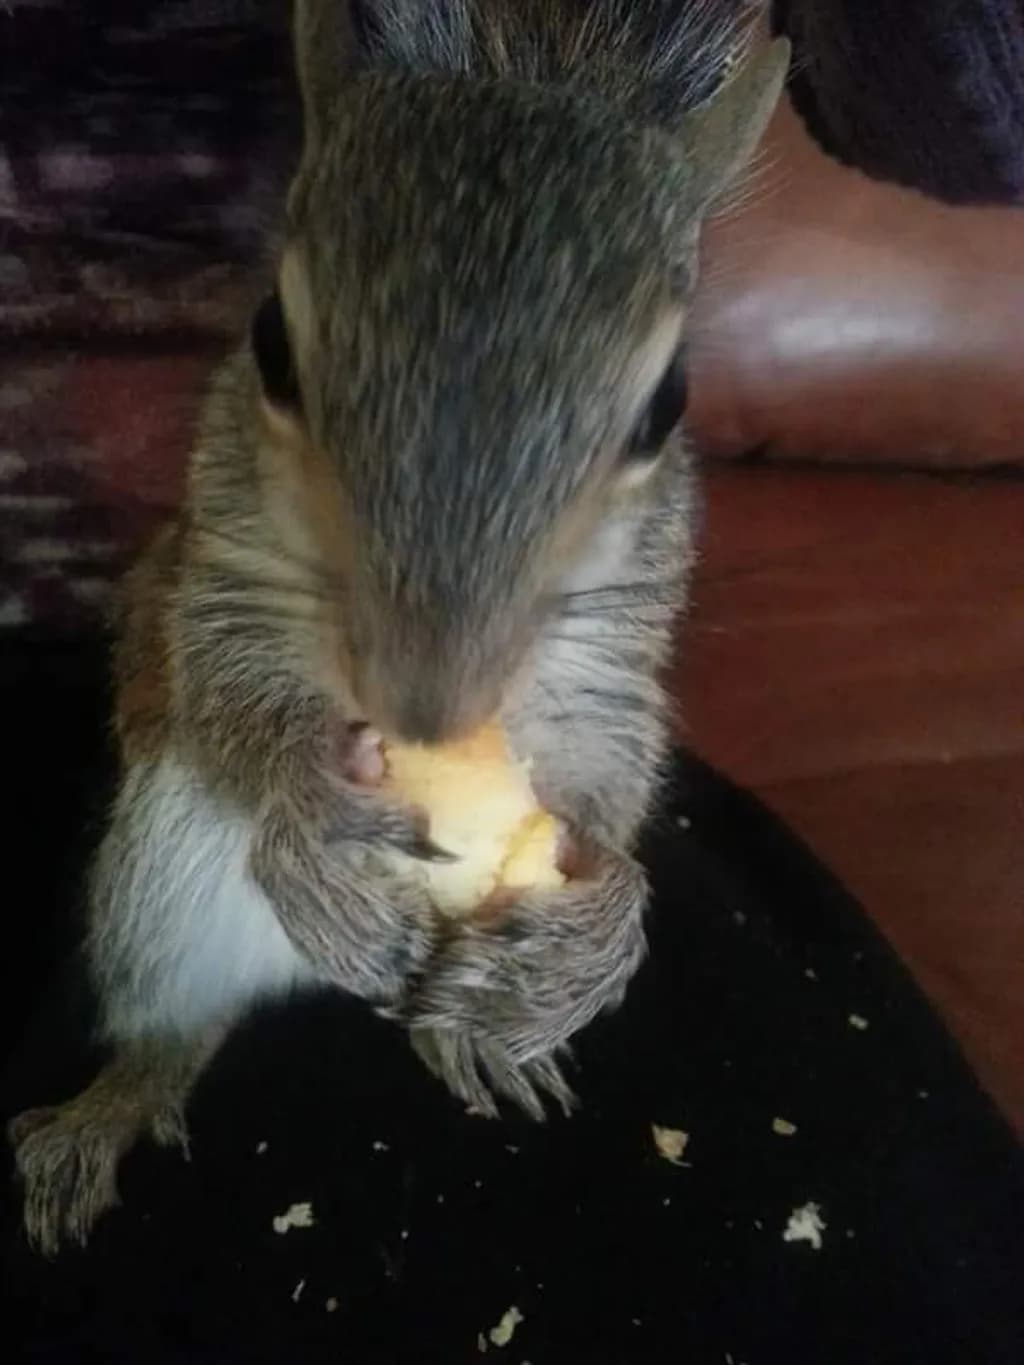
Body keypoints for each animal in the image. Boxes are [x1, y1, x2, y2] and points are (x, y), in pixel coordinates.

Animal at [8, 0, 787, 1255]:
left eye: (667, 406)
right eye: (270, 341)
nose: (427, 705)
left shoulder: (617, 646)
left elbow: (609, 761)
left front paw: (599, 921)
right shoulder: (217, 581)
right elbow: (224, 687)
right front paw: (307, 801)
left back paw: (469, 1025)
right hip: (162, 878)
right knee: (182, 1017)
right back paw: (114, 1104)